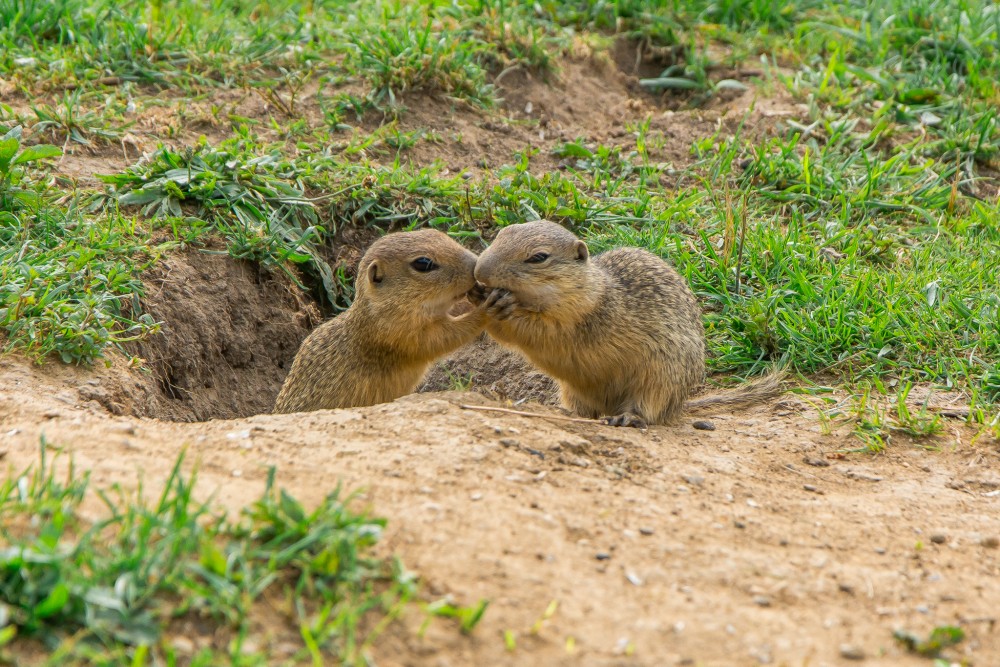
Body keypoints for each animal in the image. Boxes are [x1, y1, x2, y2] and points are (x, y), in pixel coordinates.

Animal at [274, 232, 484, 414]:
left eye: (439, 233)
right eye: (423, 263)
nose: (475, 262)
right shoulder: (399, 334)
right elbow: (445, 337)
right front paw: (484, 311)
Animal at [472, 220, 784, 428]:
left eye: (539, 257)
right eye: (501, 234)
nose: (479, 271)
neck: (592, 289)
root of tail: (678, 407)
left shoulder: (577, 320)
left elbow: (539, 332)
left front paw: (500, 306)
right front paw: (477, 296)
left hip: (660, 378)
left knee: (649, 410)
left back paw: (627, 417)